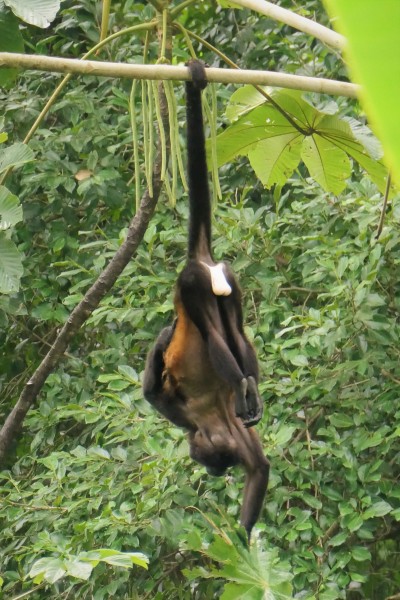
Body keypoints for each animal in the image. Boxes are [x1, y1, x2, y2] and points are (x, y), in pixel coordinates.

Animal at [142, 61, 270, 540]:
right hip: (227, 280)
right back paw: (250, 384)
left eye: (210, 461)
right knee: (234, 329)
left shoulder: (186, 415)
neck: (213, 424)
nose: (211, 468)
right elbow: (261, 468)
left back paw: (237, 381)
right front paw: (244, 542)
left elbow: (153, 393)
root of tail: (202, 260)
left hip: (191, 285)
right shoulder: (240, 433)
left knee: (210, 331)